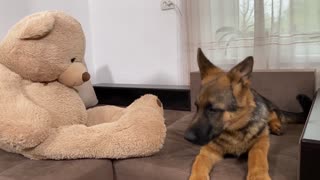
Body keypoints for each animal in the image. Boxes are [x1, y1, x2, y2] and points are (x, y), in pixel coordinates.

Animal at [184, 47, 312, 180]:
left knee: (273, 114)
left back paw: (275, 126)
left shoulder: (261, 142)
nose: (186, 137)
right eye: (196, 106)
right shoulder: (208, 151)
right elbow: (198, 164)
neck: (235, 130)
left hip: (266, 108)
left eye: (212, 109)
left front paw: (259, 176)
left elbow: (258, 157)